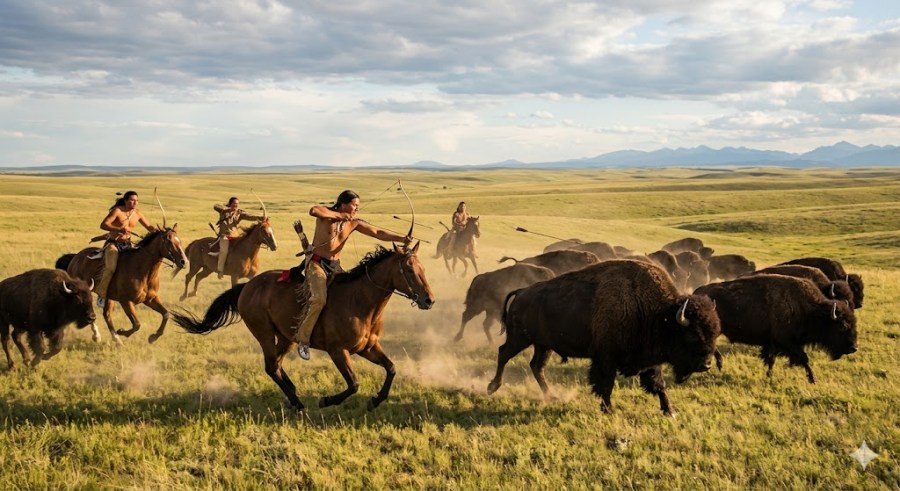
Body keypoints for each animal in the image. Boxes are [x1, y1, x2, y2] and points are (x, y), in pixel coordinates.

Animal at [488, 260, 721, 415]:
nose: (706, 365)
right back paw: (493, 387)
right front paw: (608, 409)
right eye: (692, 335)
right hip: (520, 339)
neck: (659, 314)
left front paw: (670, 411)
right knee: (504, 354)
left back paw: (551, 395)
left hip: (543, 345)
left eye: (714, 334)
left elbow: (658, 384)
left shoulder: (649, 360)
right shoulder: (606, 358)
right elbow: (606, 384)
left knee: (536, 366)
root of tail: (521, 292)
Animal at [695, 274, 857, 383]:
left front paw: (769, 376)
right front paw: (813, 379)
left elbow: (772, 360)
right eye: (842, 326)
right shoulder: (787, 342)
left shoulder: (774, 343)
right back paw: (719, 364)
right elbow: (804, 358)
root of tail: (698, 292)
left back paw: (720, 365)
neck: (810, 310)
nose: (854, 348)